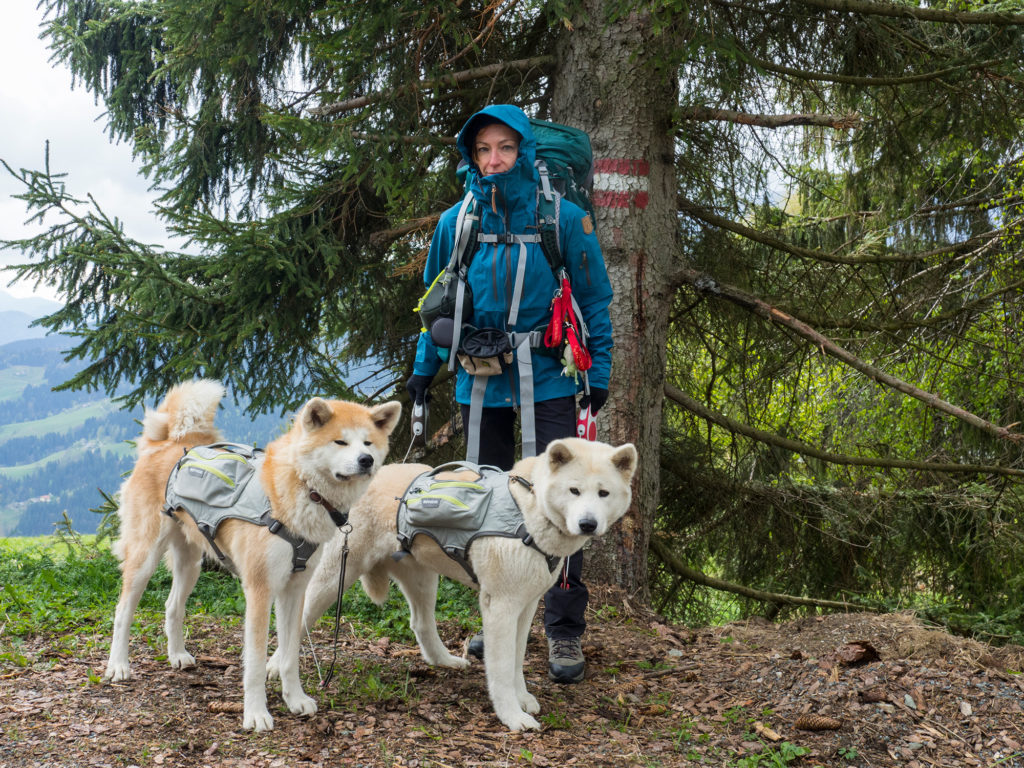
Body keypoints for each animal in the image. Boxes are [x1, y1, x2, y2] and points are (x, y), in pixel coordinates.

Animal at [103, 382, 399, 729]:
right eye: (340, 441)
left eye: (368, 442)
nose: (366, 460)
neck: (300, 491)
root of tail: (165, 443)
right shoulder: (260, 590)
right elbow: (256, 662)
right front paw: (256, 714)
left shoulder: (294, 590)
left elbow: (288, 655)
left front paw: (295, 699)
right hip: (144, 557)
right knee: (123, 610)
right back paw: (118, 665)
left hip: (190, 564)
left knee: (172, 606)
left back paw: (177, 655)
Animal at [280, 438, 638, 733]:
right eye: (574, 491)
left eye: (603, 493)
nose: (588, 524)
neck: (528, 509)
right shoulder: (500, 607)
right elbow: (501, 669)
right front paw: (512, 715)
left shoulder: (526, 607)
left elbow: (517, 661)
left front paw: (522, 698)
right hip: (335, 577)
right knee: (297, 622)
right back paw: (278, 671)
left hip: (424, 579)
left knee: (421, 623)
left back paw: (445, 661)